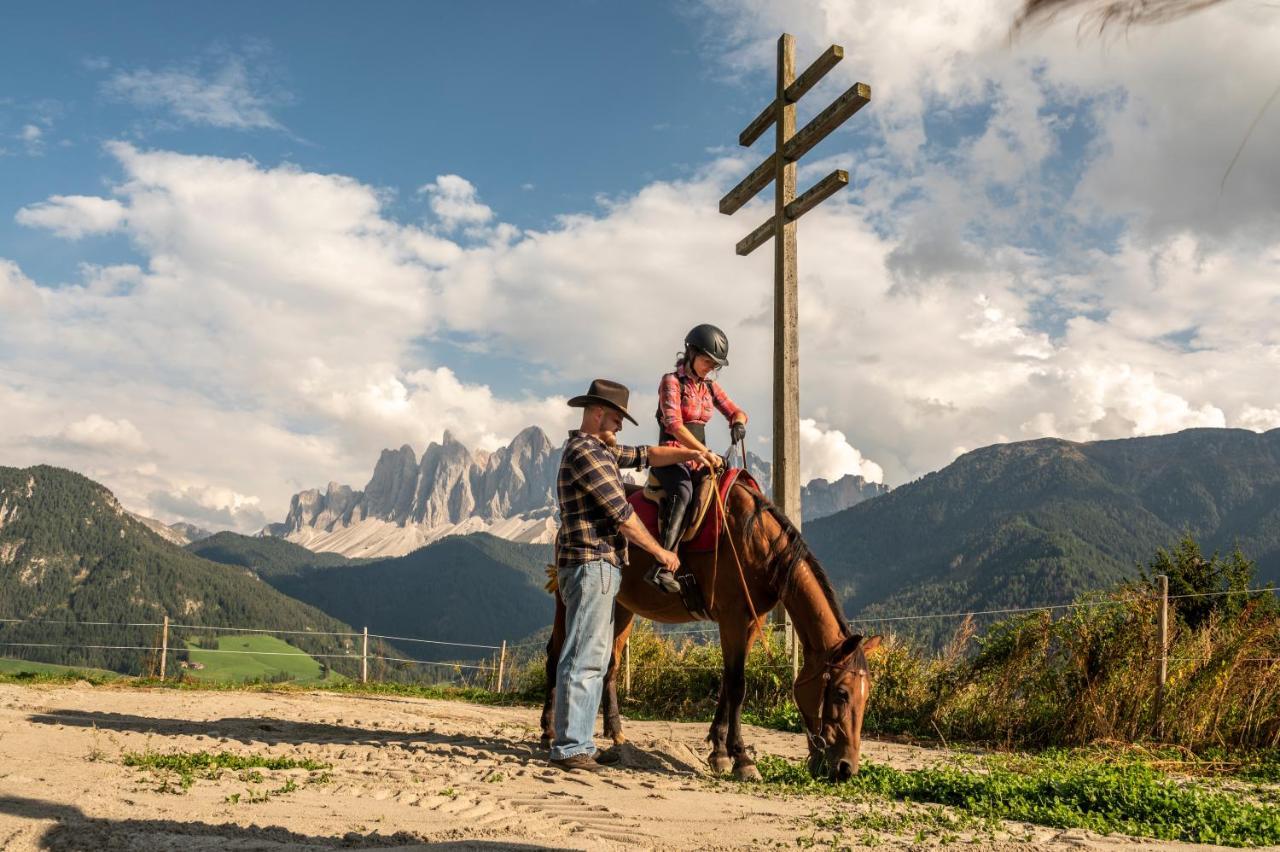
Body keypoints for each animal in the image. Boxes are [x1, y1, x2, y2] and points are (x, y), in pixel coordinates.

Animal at [537, 473, 880, 777]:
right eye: (841, 693)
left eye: (866, 695)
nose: (846, 769)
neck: (754, 542)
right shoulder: (732, 618)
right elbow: (738, 685)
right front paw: (741, 758)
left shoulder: (751, 622)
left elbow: (728, 682)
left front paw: (719, 751)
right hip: (569, 601)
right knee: (556, 656)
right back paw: (549, 732)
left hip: (620, 608)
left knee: (612, 664)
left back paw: (616, 733)